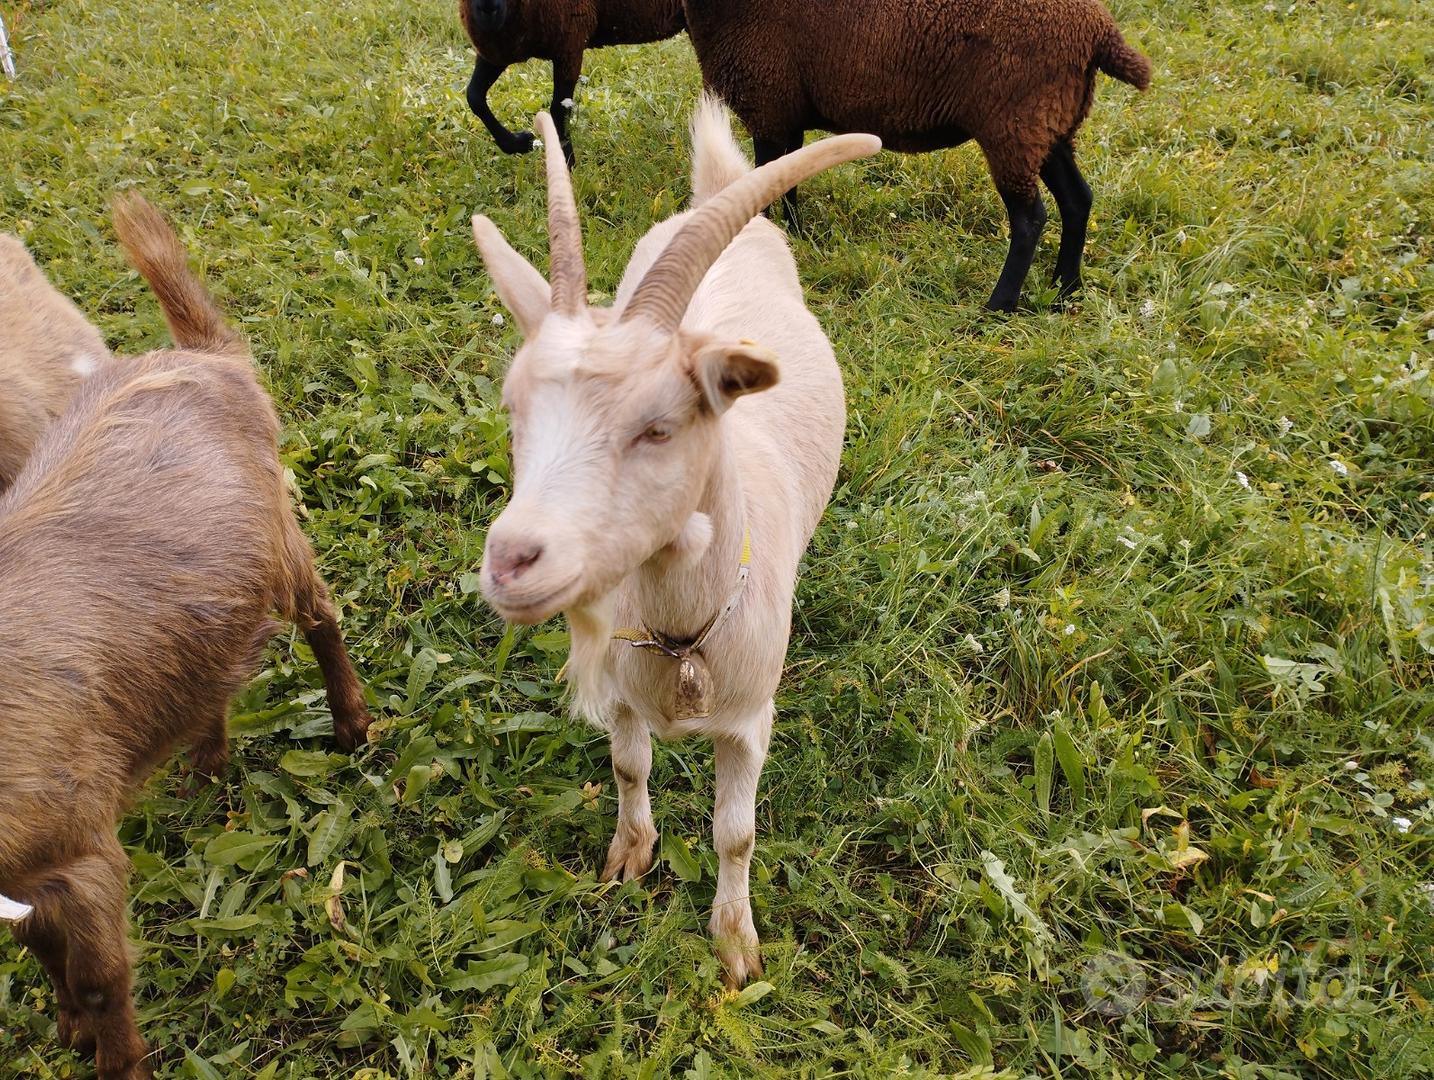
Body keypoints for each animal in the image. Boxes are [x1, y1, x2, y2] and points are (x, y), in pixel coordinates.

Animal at [460, 0, 684, 163]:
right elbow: (474, 96)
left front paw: (567, 167)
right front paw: (518, 143)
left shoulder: (569, 44)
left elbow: (558, 110)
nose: (489, 10)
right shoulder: (496, 51)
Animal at [472, 96, 878, 985]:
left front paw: (734, 945)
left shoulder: (751, 718)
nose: (512, 562)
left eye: (658, 428)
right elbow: (630, 765)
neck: (687, 632)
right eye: (514, 413)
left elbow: (736, 833)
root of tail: (718, 190)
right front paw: (630, 854)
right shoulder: (624, 694)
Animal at [682, 0, 1152, 311]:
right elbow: (789, 178)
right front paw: (794, 235)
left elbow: (768, 180)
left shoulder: (770, 102)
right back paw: (1065, 289)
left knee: (1030, 218)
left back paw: (998, 306)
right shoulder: (784, 110)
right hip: (1048, 124)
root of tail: (1099, 31)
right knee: (1077, 198)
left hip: (1014, 124)